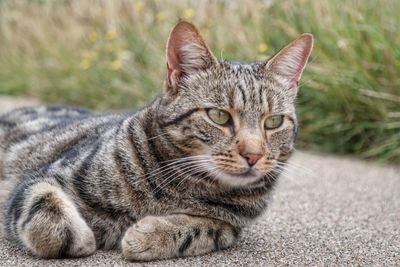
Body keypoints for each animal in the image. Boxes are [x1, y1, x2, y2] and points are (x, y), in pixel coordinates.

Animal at [0, 21, 312, 262]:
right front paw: (82, 239)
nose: (253, 155)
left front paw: (149, 236)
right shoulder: (43, 179)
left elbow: (200, 229)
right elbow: (44, 214)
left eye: (273, 122)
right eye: (219, 116)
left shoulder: (229, 227)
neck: (181, 186)